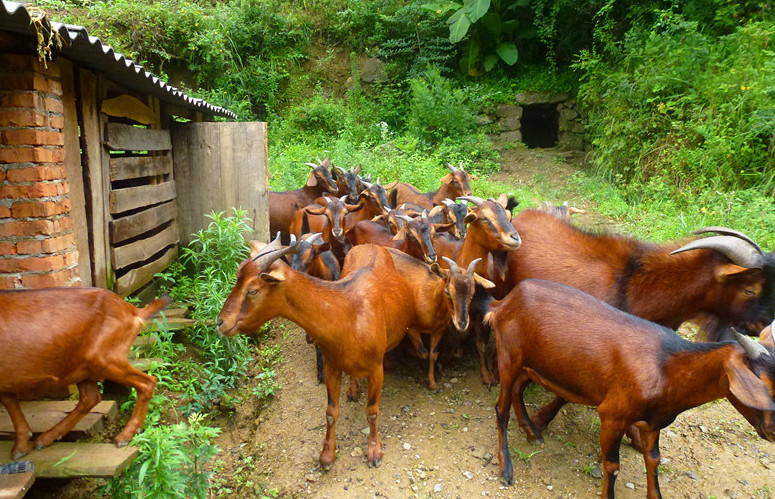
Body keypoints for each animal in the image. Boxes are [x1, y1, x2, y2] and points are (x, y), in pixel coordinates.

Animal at [0, 290, 169, 460]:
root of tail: (133, 311)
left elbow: (9, 402)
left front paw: (19, 448)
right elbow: (9, 401)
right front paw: (20, 447)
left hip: (104, 359)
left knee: (148, 382)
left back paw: (125, 436)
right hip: (84, 368)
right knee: (90, 397)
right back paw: (46, 438)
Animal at [217, 240, 418, 470]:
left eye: (252, 291)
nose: (220, 322)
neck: (347, 315)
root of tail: (370, 245)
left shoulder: (376, 369)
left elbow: (372, 411)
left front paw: (374, 452)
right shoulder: (332, 365)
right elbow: (331, 413)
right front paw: (327, 456)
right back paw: (352, 388)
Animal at [484, 280, 775, 498]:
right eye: (764, 385)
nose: (773, 432)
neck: (666, 366)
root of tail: (502, 303)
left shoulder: (653, 422)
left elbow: (654, 459)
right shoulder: (612, 414)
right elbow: (612, 466)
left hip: (532, 364)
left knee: (518, 390)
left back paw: (532, 431)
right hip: (508, 356)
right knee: (500, 408)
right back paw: (507, 468)